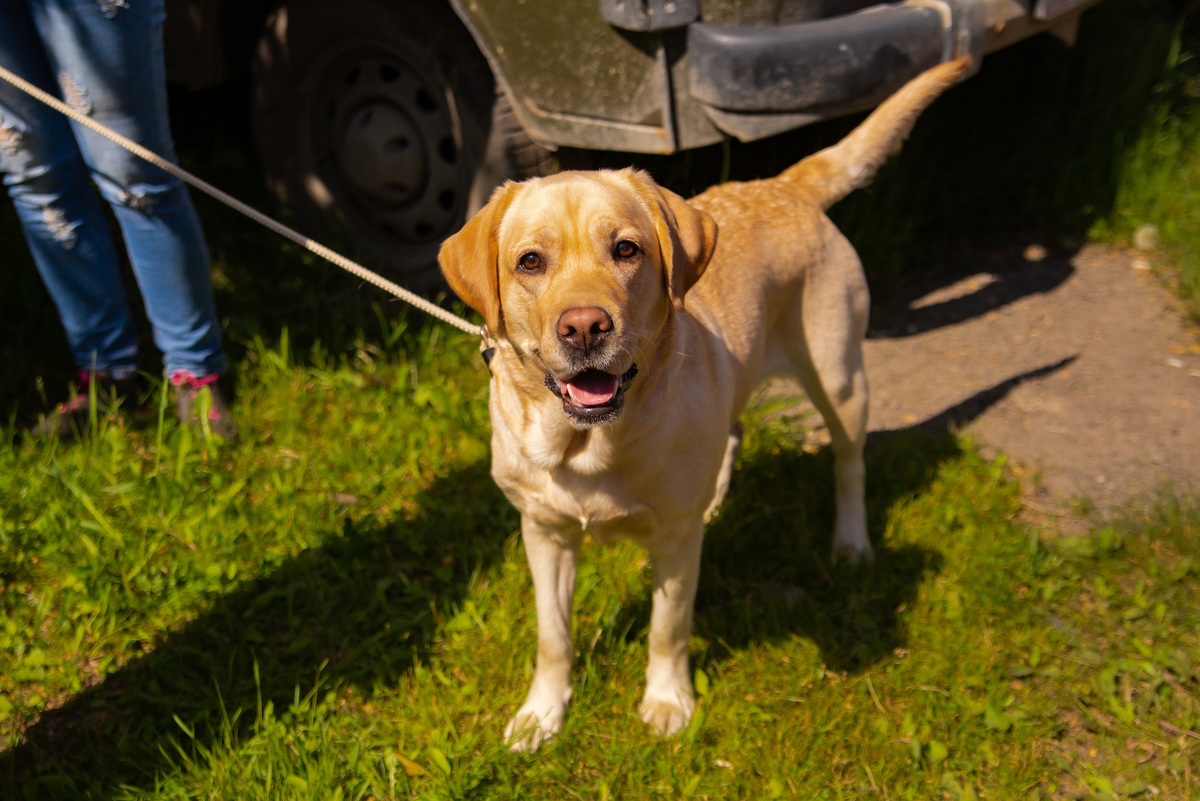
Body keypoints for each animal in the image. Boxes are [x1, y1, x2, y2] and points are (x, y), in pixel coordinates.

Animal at [436, 57, 969, 753]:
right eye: (530, 261)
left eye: (626, 249)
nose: (585, 327)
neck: (588, 446)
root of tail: (784, 184)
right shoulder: (544, 534)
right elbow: (553, 636)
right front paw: (542, 713)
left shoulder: (672, 545)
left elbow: (668, 628)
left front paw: (667, 703)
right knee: (733, 433)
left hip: (842, 379)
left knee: (849, 466)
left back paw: (851, 544)